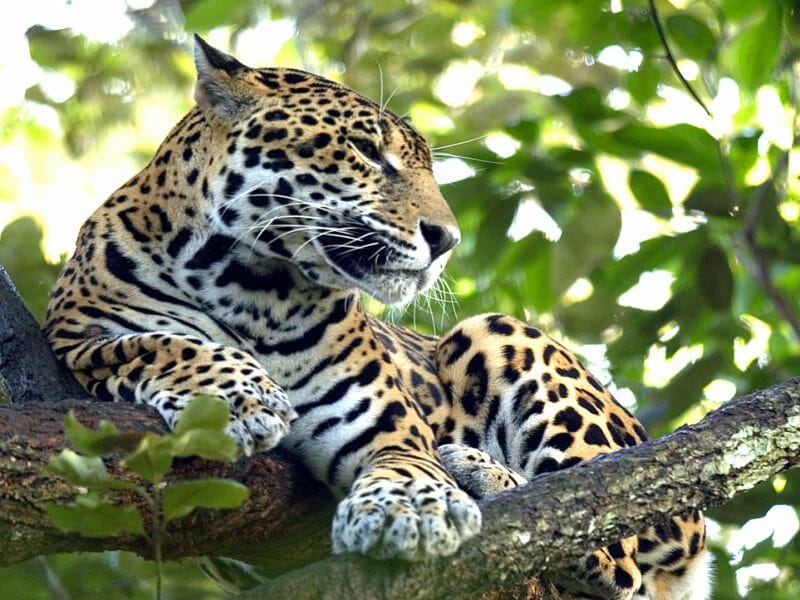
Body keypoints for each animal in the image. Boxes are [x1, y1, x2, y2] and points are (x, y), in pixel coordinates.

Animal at [43, 35, 710, 599]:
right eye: (366, 151)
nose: (446, 239)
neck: (251, 285)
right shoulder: (78, 335)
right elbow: (162, 344)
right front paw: (239, 397)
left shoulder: (383, 423)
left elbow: (407, 459)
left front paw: (413, 506)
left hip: (495, 333)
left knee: (603, 538)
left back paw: (477, 470)